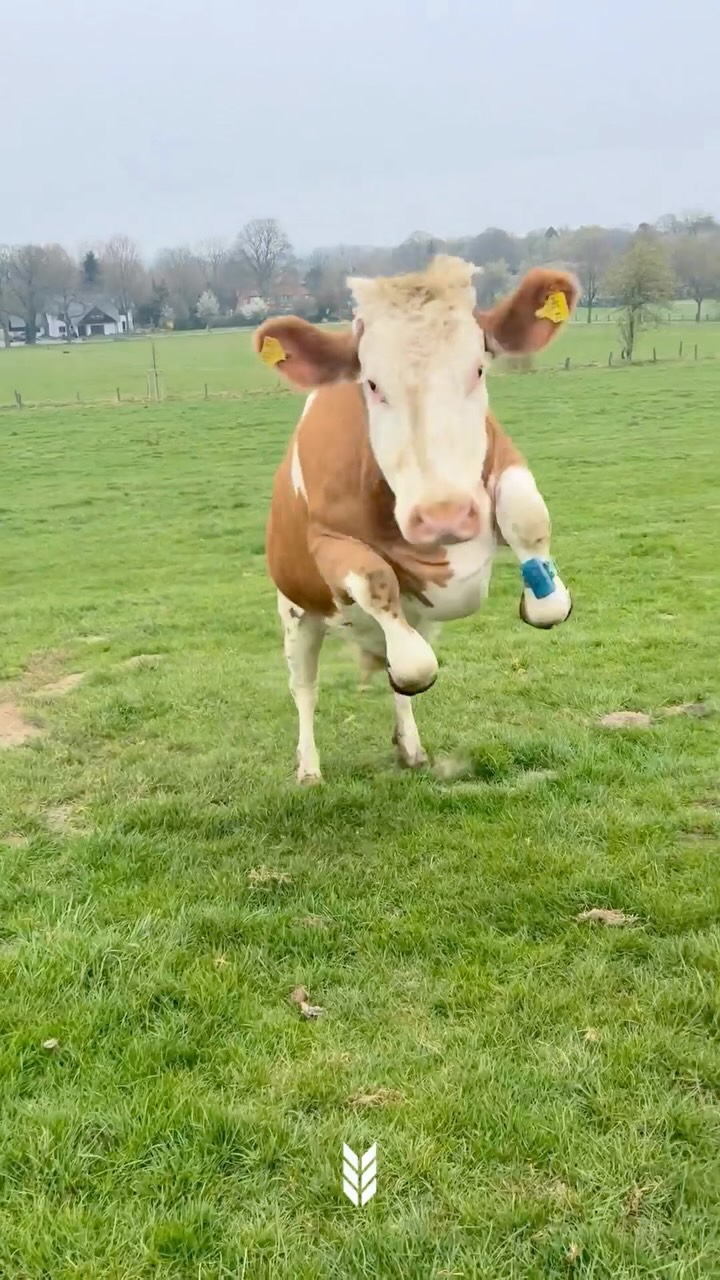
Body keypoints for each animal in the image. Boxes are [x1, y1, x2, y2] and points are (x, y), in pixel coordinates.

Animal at [254, 256, 579, 783]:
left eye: (479, 368)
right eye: (372, 384)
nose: (443, 515)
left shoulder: (502, 461)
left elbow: (528, 515)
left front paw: (543, 599)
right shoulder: (326, 540)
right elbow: (392, 618)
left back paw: (410, 748)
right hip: (296, 611)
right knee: (306, 686)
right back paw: (308, 769)